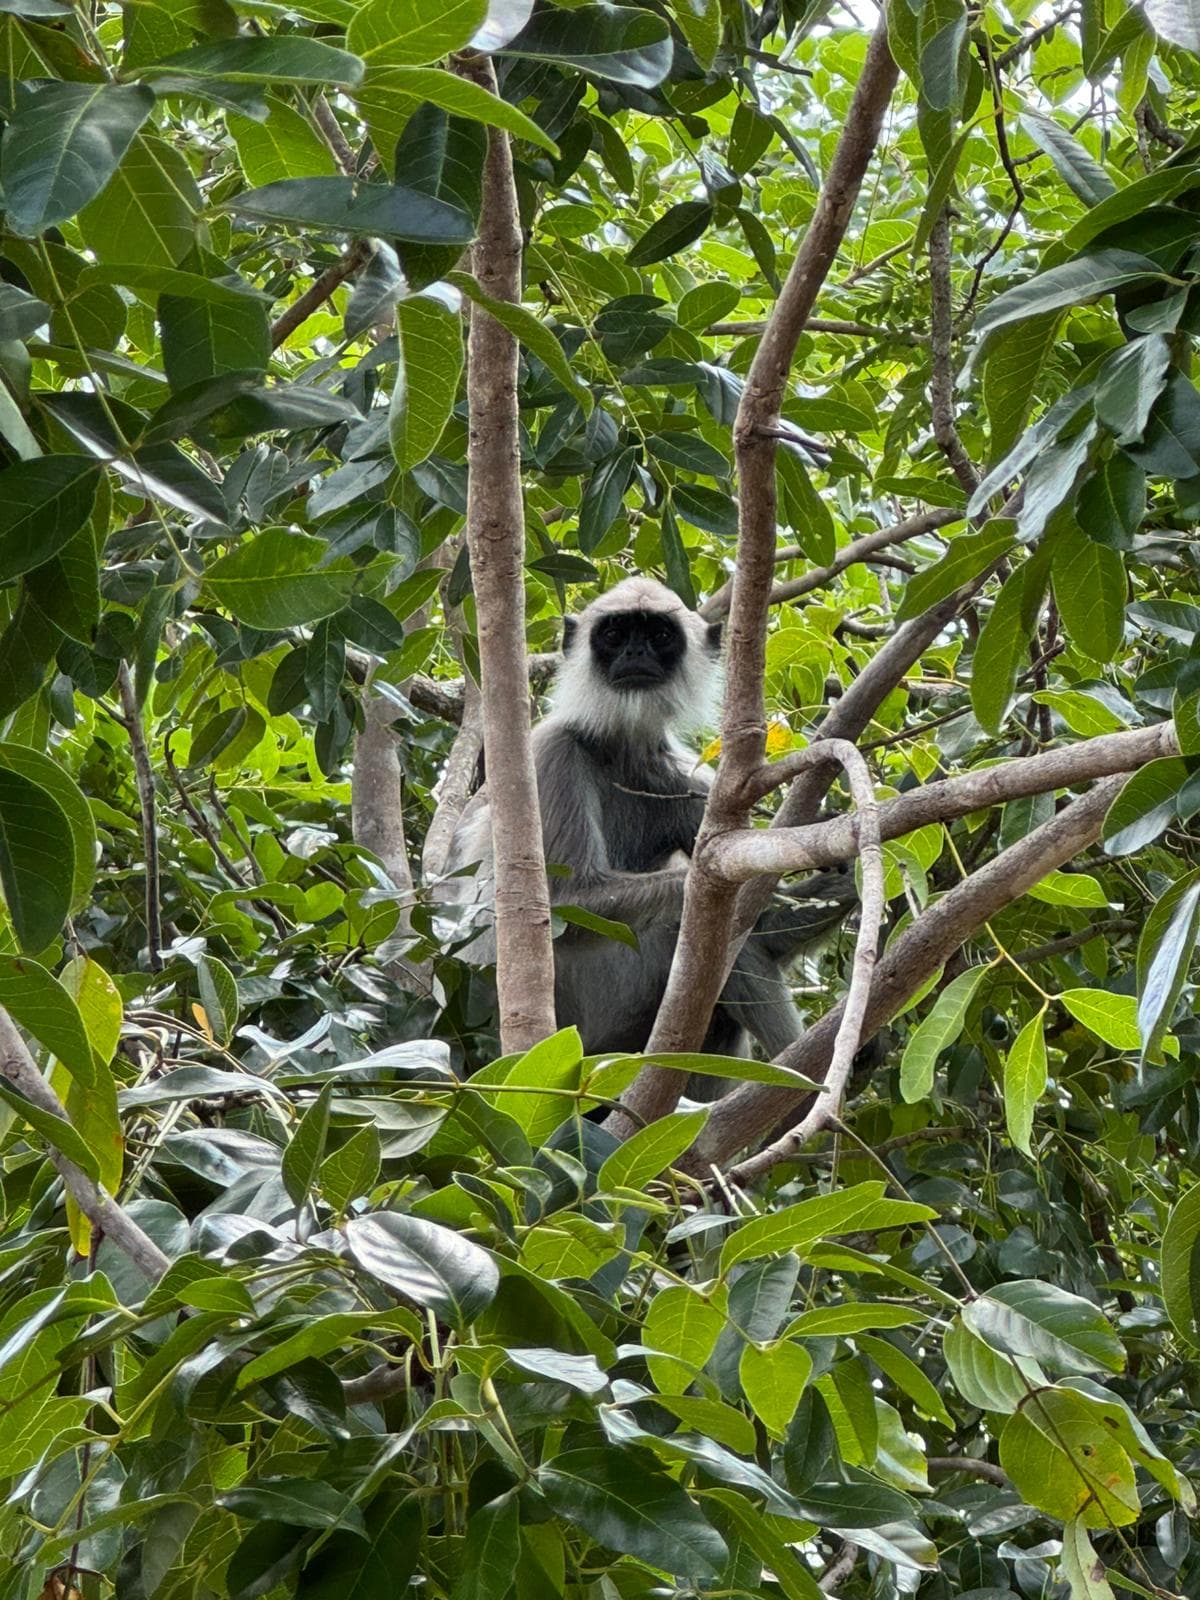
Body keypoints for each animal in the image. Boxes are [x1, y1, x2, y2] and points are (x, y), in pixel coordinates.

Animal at [439, 577, 855, 1076]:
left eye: (659, 636)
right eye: (615, 634)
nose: (635, 653)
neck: (619, 751)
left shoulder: (689, 784)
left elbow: (764, 926)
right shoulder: (548, 756)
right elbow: (562, 901)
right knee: (677, 926)